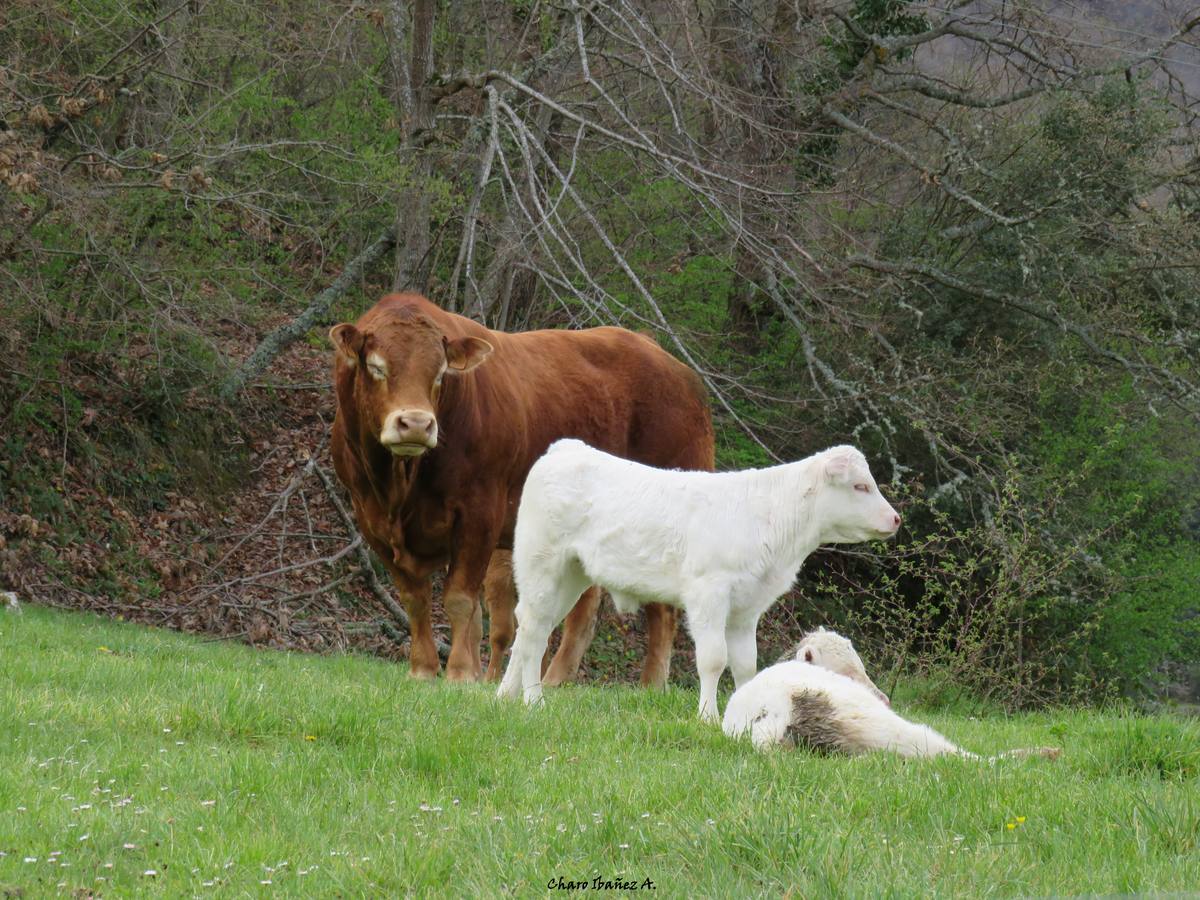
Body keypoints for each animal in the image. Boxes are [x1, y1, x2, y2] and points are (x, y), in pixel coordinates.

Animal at [328, 294, 710, 681]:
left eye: (439, 374)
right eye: (377, 367)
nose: (417, 424)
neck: (402, 486)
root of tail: (660, 354)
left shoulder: (480, 513)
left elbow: (459, 599)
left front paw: (460, 673)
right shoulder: (371, 520)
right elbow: (416, 600)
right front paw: (423, 669)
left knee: (662, 610)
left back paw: (651, 685)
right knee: (584, 611)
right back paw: (555, 682)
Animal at [496, 441, 902, 724]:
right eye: (860, 486)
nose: (896, 518)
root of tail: (566, 448)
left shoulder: (747, 608)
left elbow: (745, 664)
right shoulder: (709, 593)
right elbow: (713, 658)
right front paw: (707, 716)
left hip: (570, 576)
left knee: (531, 629)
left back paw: (504, 696)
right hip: (541, 565)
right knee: (534, 633)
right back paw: (533, 699)